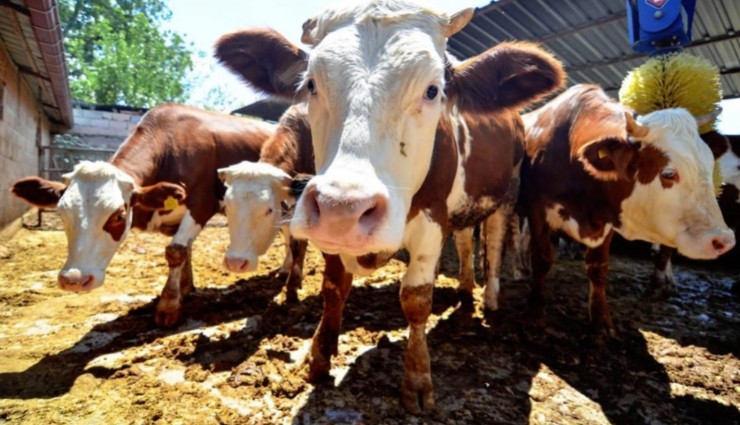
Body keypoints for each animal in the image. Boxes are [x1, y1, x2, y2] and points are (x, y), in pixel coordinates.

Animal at [11, 102, 274, 324]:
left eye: (118, 215)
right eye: (62, 213)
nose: (75, 280)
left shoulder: (202, 204)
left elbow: (176, 251)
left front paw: (169, 305)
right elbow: (186, 250)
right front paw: (185, 289)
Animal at [217, 0, 564, 410]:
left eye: (433, 90)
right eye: (311, 84)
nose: (343, 209)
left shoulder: (432, 220)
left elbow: (415, 299)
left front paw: (417, 380)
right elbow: (334, 287)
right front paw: (320, 355)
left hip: (507, 195)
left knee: (493, 244)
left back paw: (490, 301)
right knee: (465, 242)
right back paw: (464, 295)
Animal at [520, 83, 736, 334]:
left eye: (710, 165)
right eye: (668, 173)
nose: (724, 240)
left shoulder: (607, 218)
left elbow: (598, 267)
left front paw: (601, 320)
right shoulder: (537, 209)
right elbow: (542, 258)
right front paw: (535, 311)